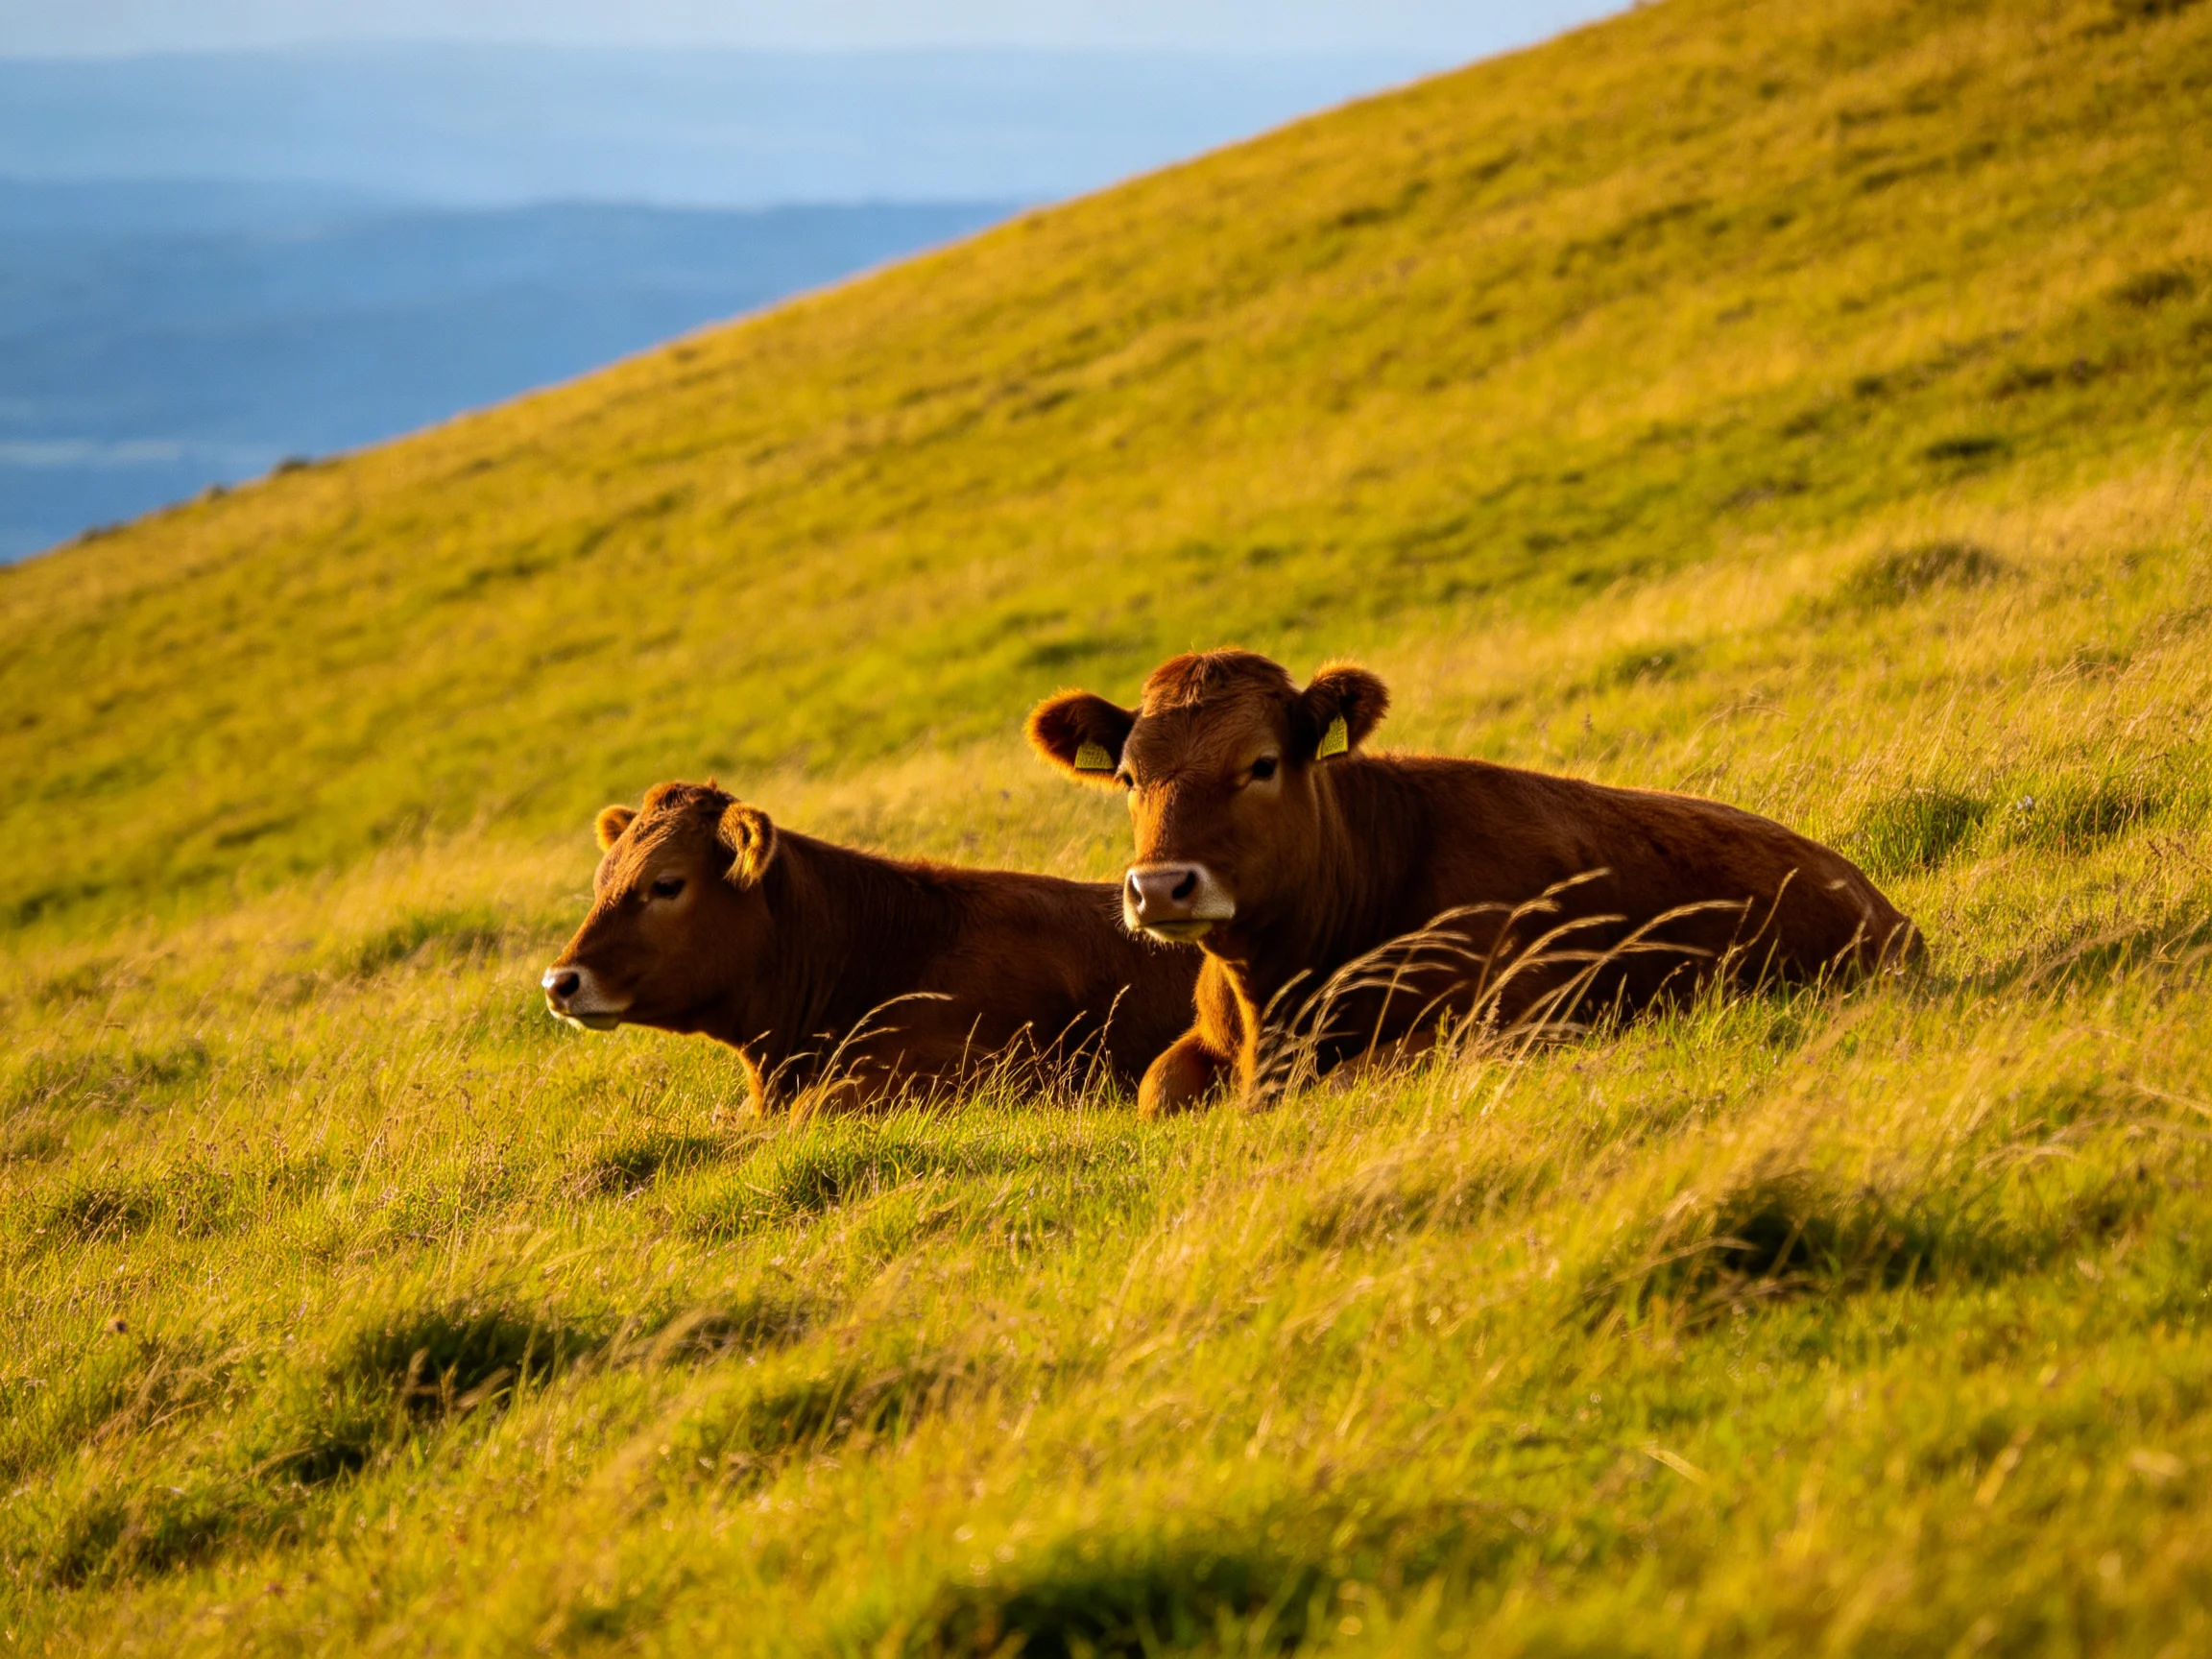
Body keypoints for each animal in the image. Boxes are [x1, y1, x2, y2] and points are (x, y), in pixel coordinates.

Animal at [1028, 650, 1921, 1115]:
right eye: (1131, 777)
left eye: (1262, 763)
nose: (1160, 887)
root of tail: (1870, 893)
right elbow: (1157, 1087)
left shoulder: (1525, 1018)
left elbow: (1356, 1075)